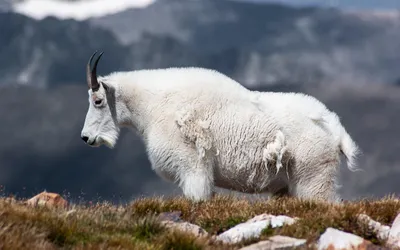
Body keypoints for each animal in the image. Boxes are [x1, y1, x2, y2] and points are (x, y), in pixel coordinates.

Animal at [80, 51, 360, 202]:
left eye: (97, 101)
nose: (86, 137)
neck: (152, 105)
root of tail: (336, 130)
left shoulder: (192, 167)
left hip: (313, 179)